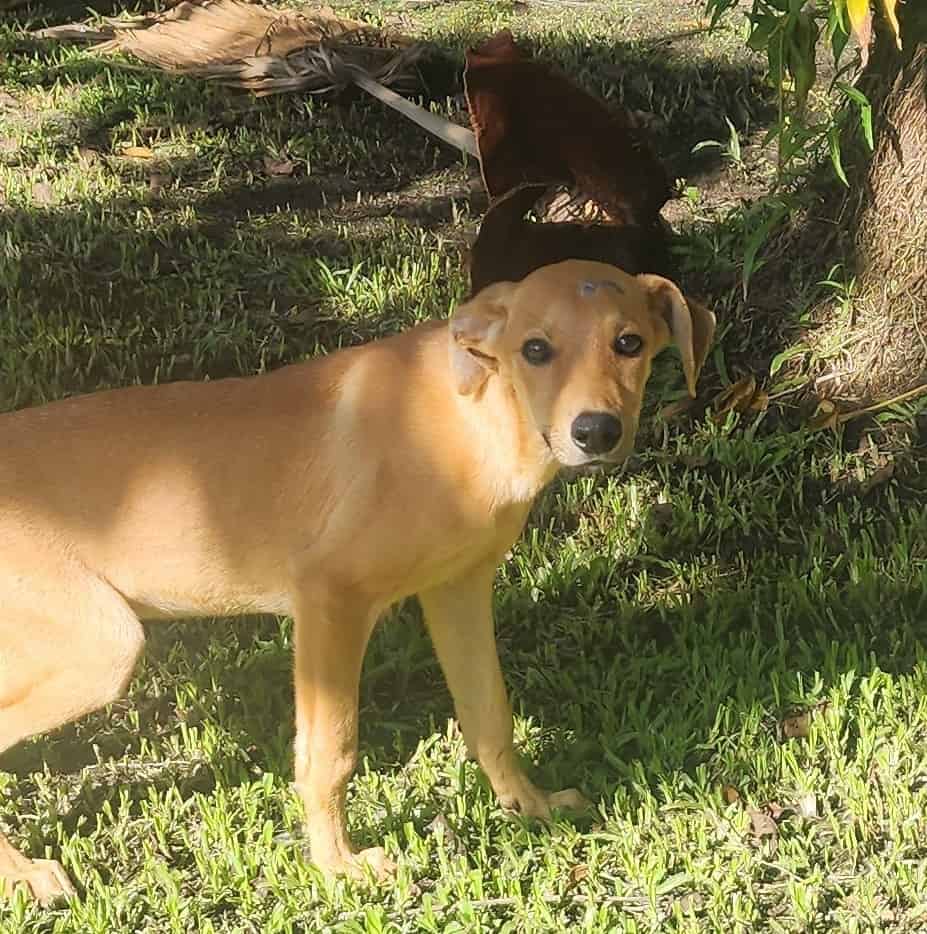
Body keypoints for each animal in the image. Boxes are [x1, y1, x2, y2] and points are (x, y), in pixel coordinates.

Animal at [0, 260, 716, 904]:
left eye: (629, 343)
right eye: (535, 350)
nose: (596, 433)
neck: (474, 423)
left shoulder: (458, 589)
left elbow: (490, 713)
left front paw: (529, 805)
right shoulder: (331, 598)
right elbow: (331, 752)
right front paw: (337, 866)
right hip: (102, 646)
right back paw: (28, 875)